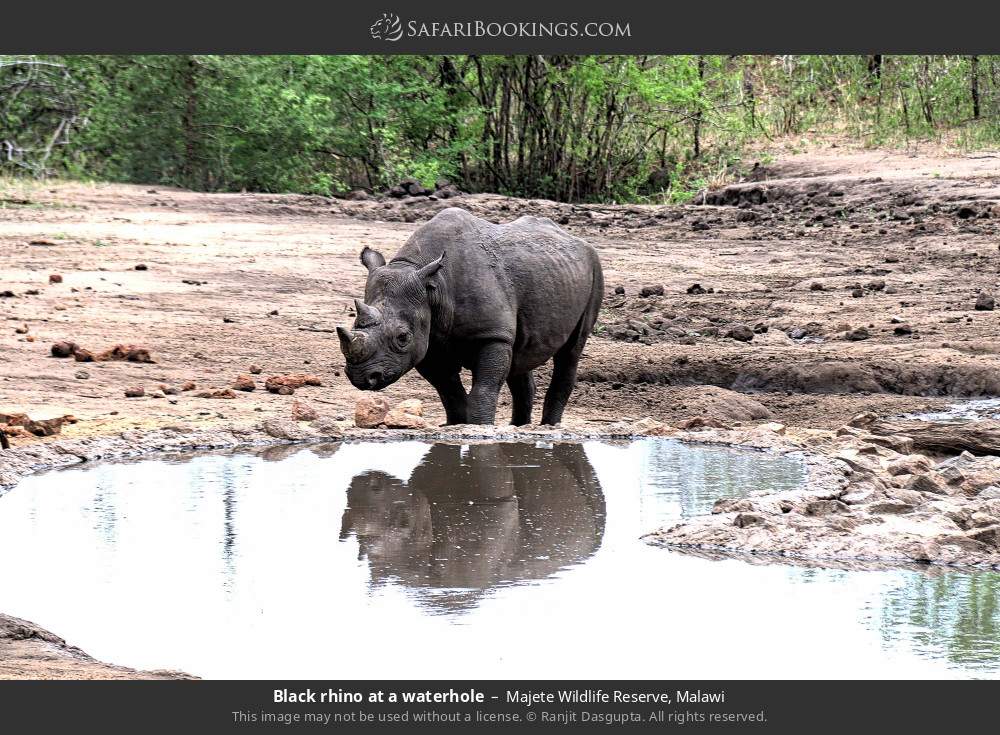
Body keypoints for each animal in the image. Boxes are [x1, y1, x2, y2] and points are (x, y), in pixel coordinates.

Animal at [337, 207, 604, 425]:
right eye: (354, 323)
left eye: (402, 337)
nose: (362, 378)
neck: (432, 286)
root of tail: (579, 240)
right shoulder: (429, 342)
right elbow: (449, 391)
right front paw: (457, 424)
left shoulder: (492, 334)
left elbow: (484, 388)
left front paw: (480, 426)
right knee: (520, 355)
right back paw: (519, 427)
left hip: (595, 267)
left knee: (571, 350)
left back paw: (550, 426)